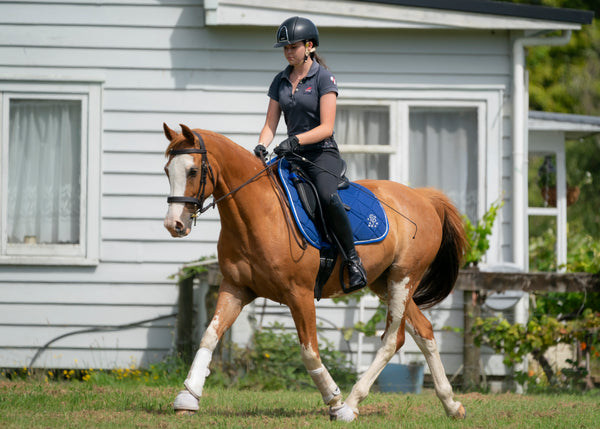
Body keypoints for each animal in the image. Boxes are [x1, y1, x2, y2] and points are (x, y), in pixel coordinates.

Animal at [164, 123, 468, 422]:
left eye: (192, 171)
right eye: (167, 170)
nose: (174, 224)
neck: (259, 212)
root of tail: (423, 198)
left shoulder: (299, 294)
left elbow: (309, 353)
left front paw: (335, 402)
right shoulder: (235, 288)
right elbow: (209, 336)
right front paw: (187, 398)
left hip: (403, 278)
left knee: (393, 338)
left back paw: (352, 403)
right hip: (384, 283)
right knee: (423, 330)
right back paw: (451, 404)